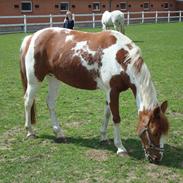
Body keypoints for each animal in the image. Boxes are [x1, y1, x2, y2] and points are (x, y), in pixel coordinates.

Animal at [19, 27, 169, 163]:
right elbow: (116, 118)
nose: (157, 158)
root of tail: (32, 37)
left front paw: (103, 137)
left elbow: (107, 114)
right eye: (154, 132)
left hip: (53, 78)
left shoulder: (109, 93)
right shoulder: (113, 91)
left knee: (50, 103)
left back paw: (59, 133)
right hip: (34, 80)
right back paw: (30, 132)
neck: (121, 58)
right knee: (28, 101)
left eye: (165, 132)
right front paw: (120, 148)